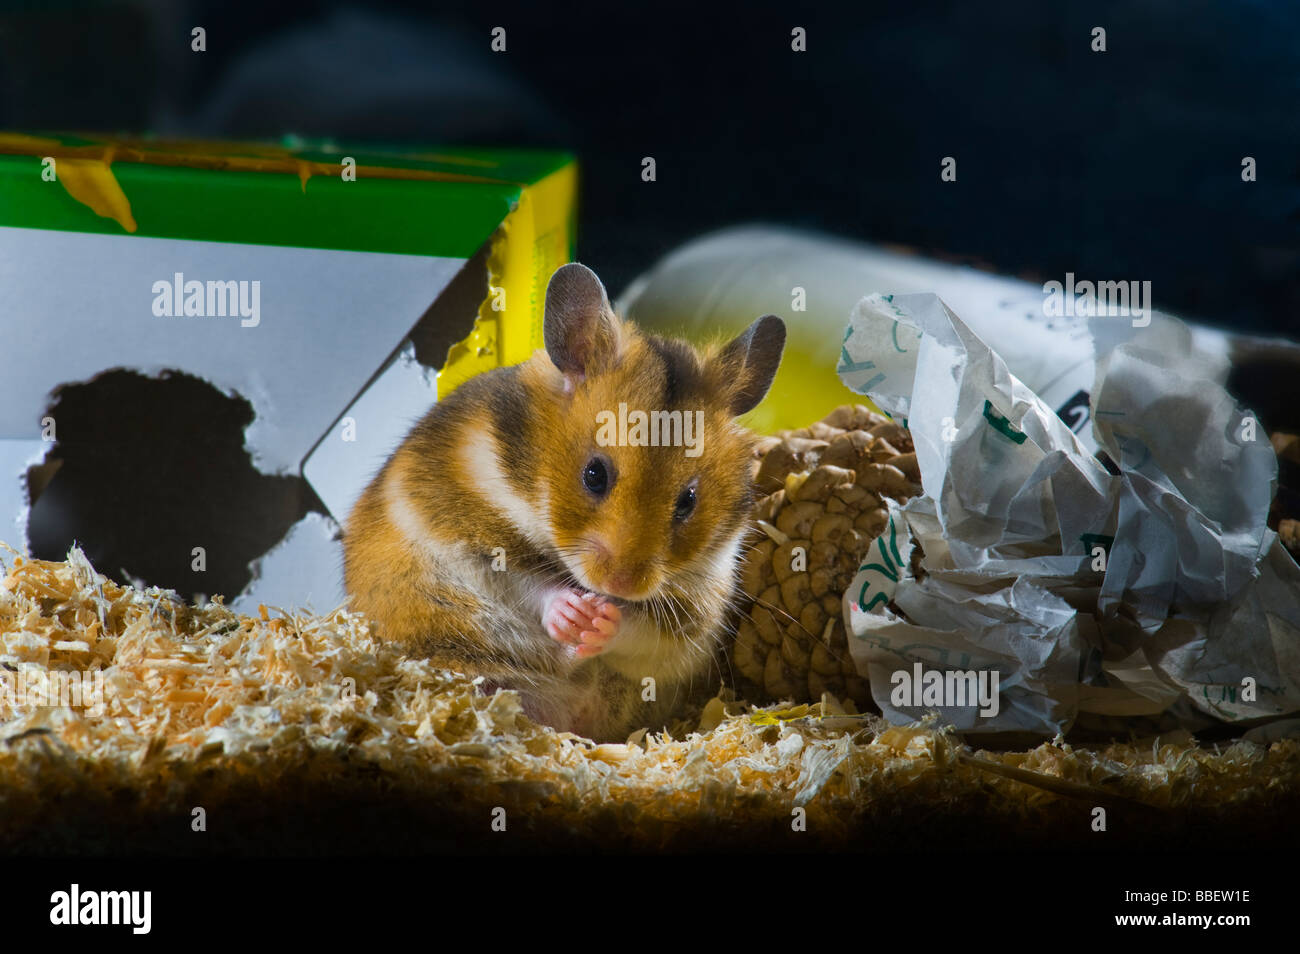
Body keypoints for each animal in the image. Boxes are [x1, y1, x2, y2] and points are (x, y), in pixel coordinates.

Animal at [343, 262, 785, 742]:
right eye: (594, 475)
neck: (534, 496)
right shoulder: (463, 533)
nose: (620, 585)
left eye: (688, 500)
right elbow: (526, 583)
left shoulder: (698, 608)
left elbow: (644, 631)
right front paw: (574, 614)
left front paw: (598, 622)